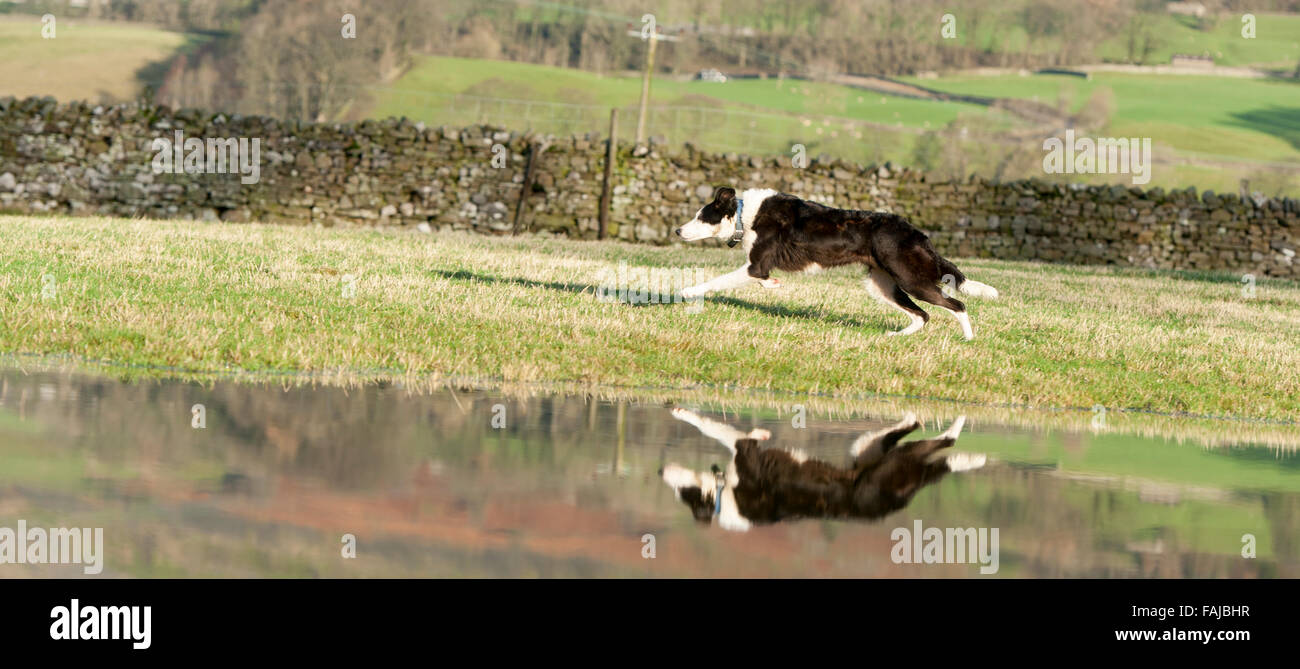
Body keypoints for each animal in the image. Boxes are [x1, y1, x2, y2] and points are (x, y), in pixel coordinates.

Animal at [676, 187, 998, 340]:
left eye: (701, 217)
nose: (678, 231)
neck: (745, 215)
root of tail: (918, 234)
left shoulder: (755, 265)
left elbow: (716, 281)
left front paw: (688, 293)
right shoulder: (758, 269)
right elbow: (764, 280)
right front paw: (774, 285)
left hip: (912, 280)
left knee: (957, 305)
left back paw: (968, 339)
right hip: (881, 285)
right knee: (922, 315)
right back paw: (896, 337)